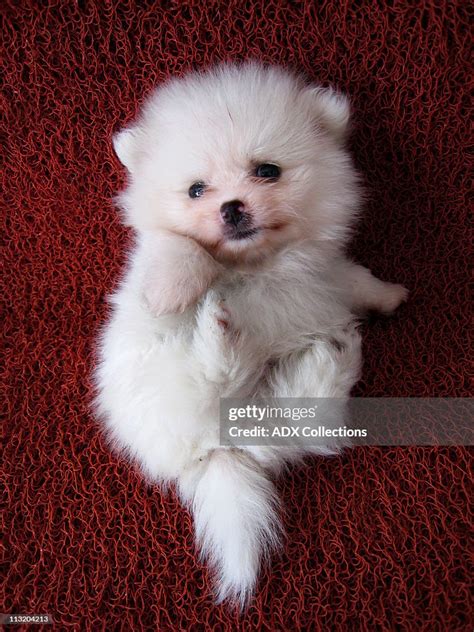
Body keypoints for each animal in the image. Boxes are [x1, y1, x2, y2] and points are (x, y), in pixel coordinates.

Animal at [95, 63, 408, 608]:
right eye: (197, 190)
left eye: (267, 170)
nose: (232, 208)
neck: (260, 265)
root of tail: (218, 449)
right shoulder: (162, 252)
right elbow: (178, 247)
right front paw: (170, 291)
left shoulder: (327, 273)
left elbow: (356, 278)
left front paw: (388, 295)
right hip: (167, 386)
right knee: (210, 375)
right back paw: (221, 330)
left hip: (275, 419)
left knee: (306, 419)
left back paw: (334, 355)